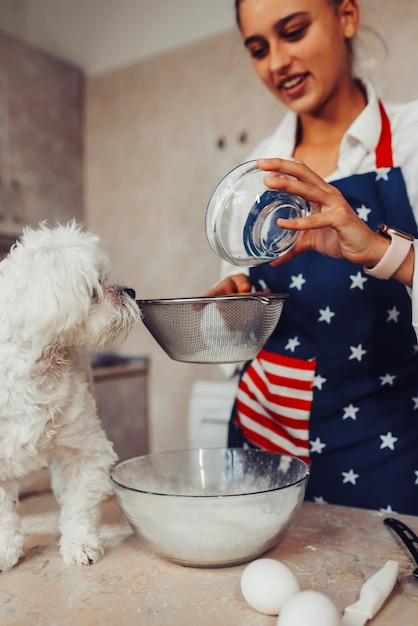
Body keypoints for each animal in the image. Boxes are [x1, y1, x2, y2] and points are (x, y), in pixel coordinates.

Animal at [0, 219, 142, 572]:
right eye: (96, 284)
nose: (131, 291)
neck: (39, 370)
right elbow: (3, 515)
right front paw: (5, 551)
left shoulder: (85, 450)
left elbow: (79, 506)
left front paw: (80, 545)